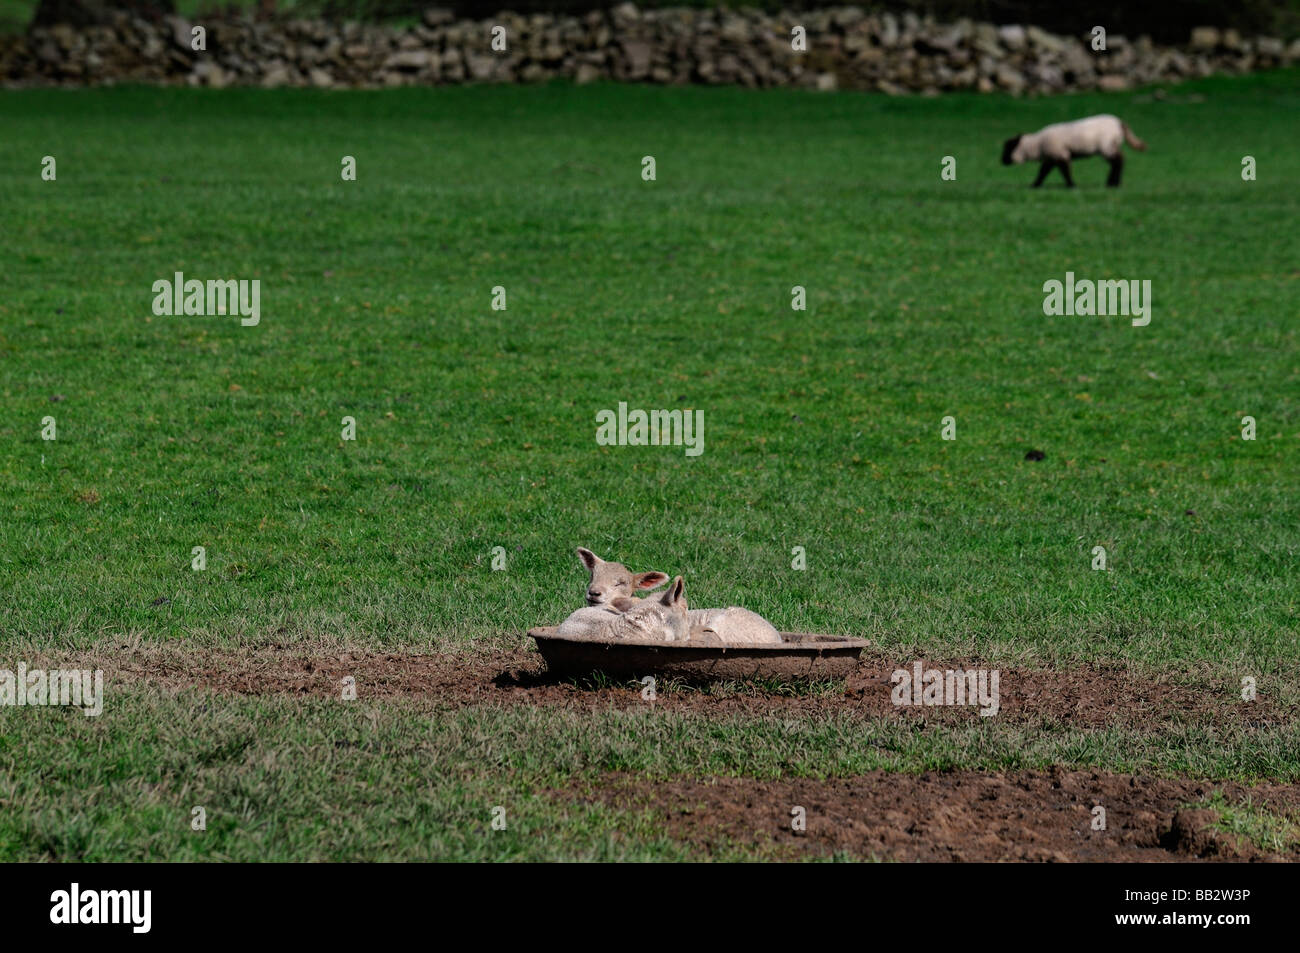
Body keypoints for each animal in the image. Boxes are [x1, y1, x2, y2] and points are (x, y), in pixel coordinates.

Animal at [1003, 113, 1149, 187]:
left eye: (1008, 148)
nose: (1002, 161)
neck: (1037, 145)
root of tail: (1119, 123)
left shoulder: (1060, 154)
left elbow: (1065, 171)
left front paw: (1071, 185)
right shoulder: (1052, 156)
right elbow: (1043, 172)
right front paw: (1035, 185)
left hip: (1107, 145)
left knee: (1118, 161)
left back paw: (1113, 184)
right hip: (1111, 145)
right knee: (1118, 161)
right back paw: (1113, 182)